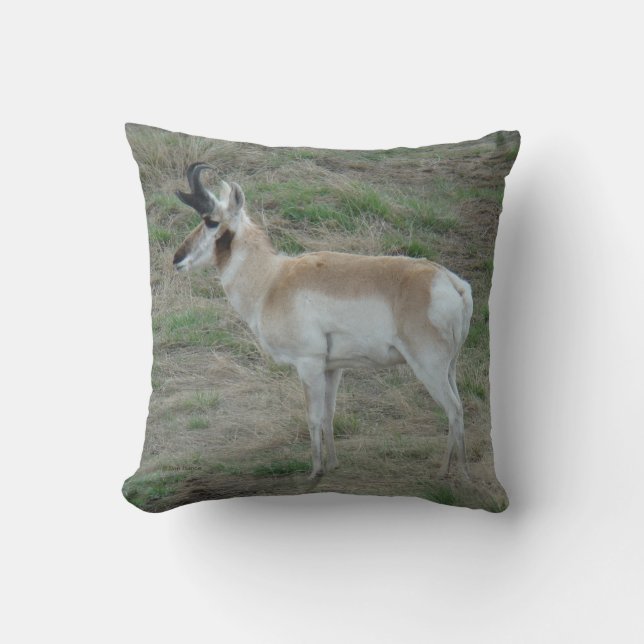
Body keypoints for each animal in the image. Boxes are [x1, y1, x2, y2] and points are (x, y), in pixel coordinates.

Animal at [172, 162, 473, 479]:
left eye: (210, 221)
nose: (177, 258)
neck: (272, 280)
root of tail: (449, 281)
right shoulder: (333, 368)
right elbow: (329, 414)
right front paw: (333, 465)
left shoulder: (309, 364)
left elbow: (313, 417)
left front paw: (315, 471)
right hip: (449, 368)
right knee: (458, 408)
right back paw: (444, 470)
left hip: (429, 367)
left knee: (453, 410)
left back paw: (461, 474)